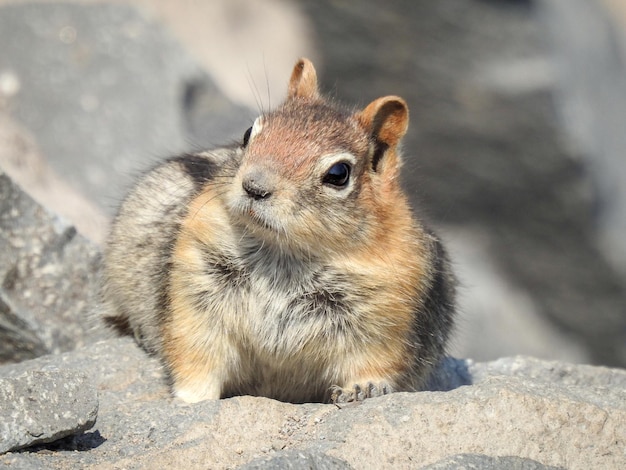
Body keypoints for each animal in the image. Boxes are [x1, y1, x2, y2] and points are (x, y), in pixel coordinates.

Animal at [101, 57, 454, 404]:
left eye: (339, 174)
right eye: (248, 133)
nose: (254, 187)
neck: (286, 252)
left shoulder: (384, 320)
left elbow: (372, 363)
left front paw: (363, 389)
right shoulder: (194, 294)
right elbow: (197, 354)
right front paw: (193, 399)